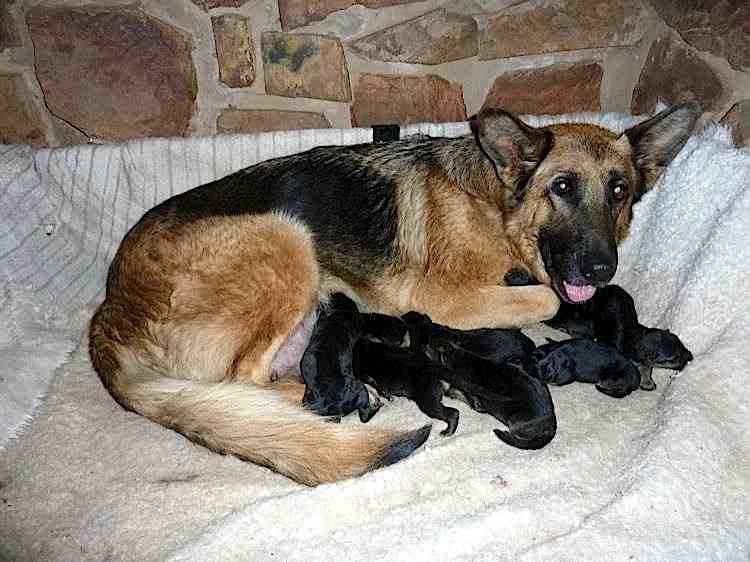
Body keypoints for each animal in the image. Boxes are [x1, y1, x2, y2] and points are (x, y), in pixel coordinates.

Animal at [88, 103, 700, 485]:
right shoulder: (443, 298)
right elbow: (549, 297)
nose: (600, 268)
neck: (494, 205)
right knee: (244, 381)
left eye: (618, 191)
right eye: (563, 187)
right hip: (286, 237)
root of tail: (109, 311)